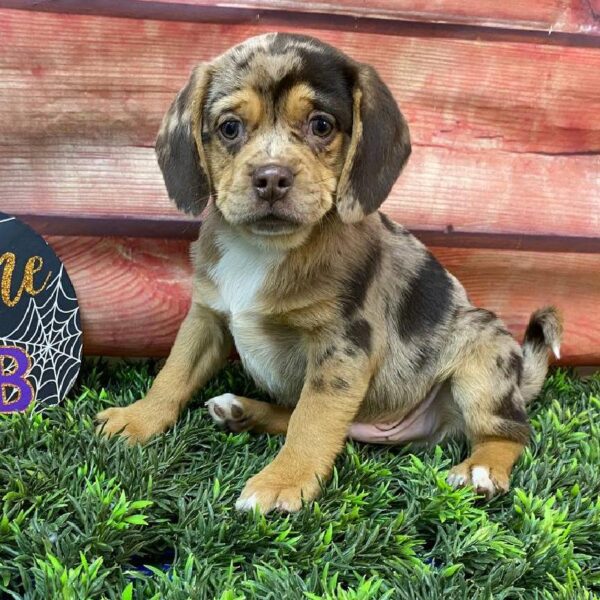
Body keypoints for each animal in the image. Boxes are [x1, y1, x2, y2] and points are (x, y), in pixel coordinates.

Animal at [97, 31, 564, 510]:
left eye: (321, 125)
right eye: (229, 127)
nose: (271, 178)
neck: (264, 248)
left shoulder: (341, 346)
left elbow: (313, 421)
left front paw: (282, 482)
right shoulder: (205, 318)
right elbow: (173, 375)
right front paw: (137, 419)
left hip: (482, 362)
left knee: (510, 432)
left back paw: (480, 469)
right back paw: (243, 411)